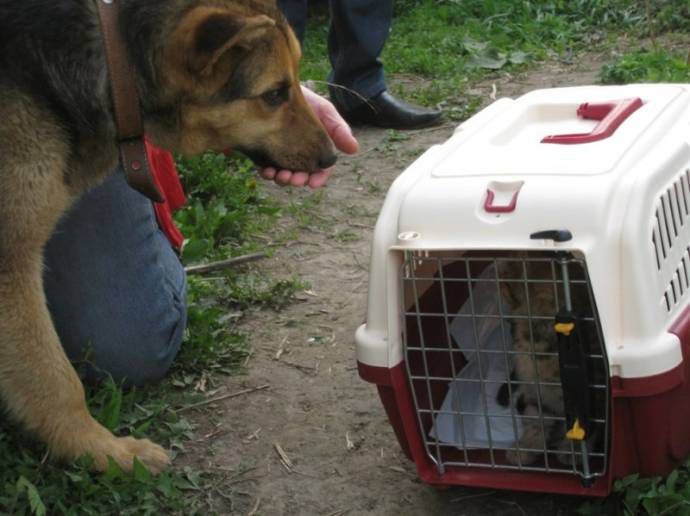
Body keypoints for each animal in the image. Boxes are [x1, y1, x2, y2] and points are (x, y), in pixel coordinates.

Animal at [0, 0, 336, 474]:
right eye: (274, 93)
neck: (113, 56)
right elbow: (56, 380)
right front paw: (99, 450)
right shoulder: (11, 266)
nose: (332, 156)